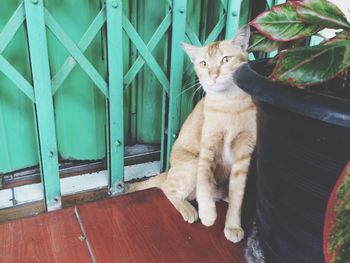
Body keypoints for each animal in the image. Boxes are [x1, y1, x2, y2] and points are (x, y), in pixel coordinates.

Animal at [124, 26, 256, 243]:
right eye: (203, 64)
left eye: (226, 59)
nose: (213, 75)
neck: (230, 104)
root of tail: (168, 171)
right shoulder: (207, 148)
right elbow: (203, 183)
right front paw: (207, 214)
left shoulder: (244, 152)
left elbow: (238, 193)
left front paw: (233, 225)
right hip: (191, 164)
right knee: (169, 187)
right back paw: (189, 209)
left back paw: (222, 196)